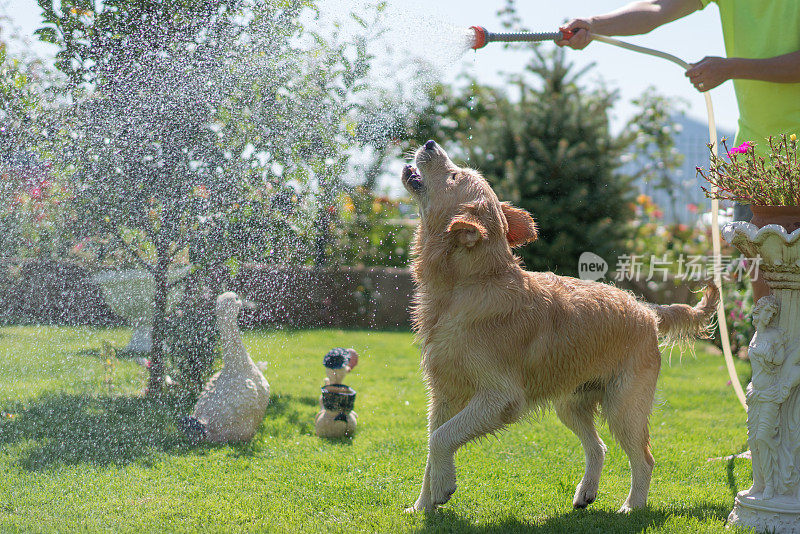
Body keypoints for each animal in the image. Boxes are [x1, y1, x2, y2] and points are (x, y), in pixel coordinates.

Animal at [400, 139, 720, 516]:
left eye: (454, 176)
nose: (430, 143)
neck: (467, 284)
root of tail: (645, 308)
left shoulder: (500, 396)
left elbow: (441, 438)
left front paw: (442, 489)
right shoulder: (444, 393)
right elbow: (432, 445)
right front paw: (423, 505)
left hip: (624, 406)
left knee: (644, 459)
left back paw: (632, 506)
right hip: (570, 403)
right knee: (598, 447)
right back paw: (586, 493)